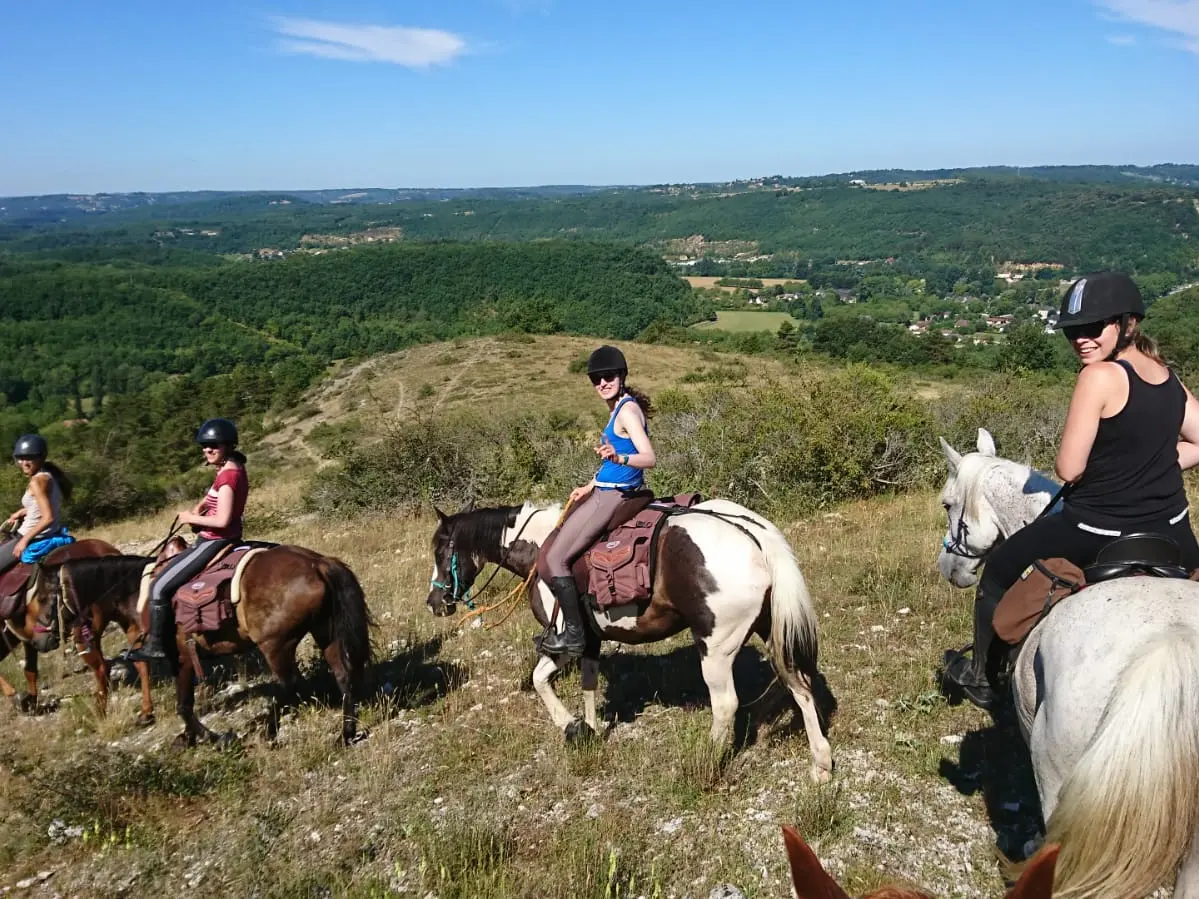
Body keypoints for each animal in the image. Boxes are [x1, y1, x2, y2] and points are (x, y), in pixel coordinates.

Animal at [56, 541, 371, 747]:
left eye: (54, 599)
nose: (77, 645)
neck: (138, 594)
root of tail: (318, 563)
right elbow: (183, 703)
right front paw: (188, 737)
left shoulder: (182, 657)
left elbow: (183, 705)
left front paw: (214, 737)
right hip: (325, 632)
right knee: (342, 675)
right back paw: (345, 734)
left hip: (276, 644)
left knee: (289, 685)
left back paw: (267, 731)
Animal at [429, 496, 834, 786]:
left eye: (440, 551)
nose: (435, 603)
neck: (539, 548)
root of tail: (754, 534)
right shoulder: (589, 642)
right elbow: (589, 685)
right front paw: (590, 730)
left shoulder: (565, 642)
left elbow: (540, 679)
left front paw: (570, 727)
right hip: (771, 629)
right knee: (799, 684)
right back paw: (821, 762)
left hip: (716, 647)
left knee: (726, 705)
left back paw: (703, 764)